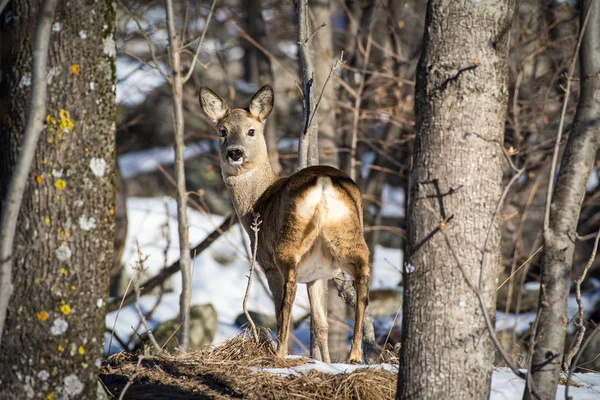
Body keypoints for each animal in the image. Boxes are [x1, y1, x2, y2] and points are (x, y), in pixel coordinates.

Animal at [200, 83, 370, 362]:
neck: (257, 201)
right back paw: (354, 355)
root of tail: (323, 182)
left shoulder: (267, 264)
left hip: (288, 241)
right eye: (222, 131)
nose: (234, 152)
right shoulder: (317, 274)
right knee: (363, 284)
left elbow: (283, 312)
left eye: (251, 130)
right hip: (348, 233)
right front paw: (325, 362)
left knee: (287, 298)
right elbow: (320, 324)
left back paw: (279, 352)